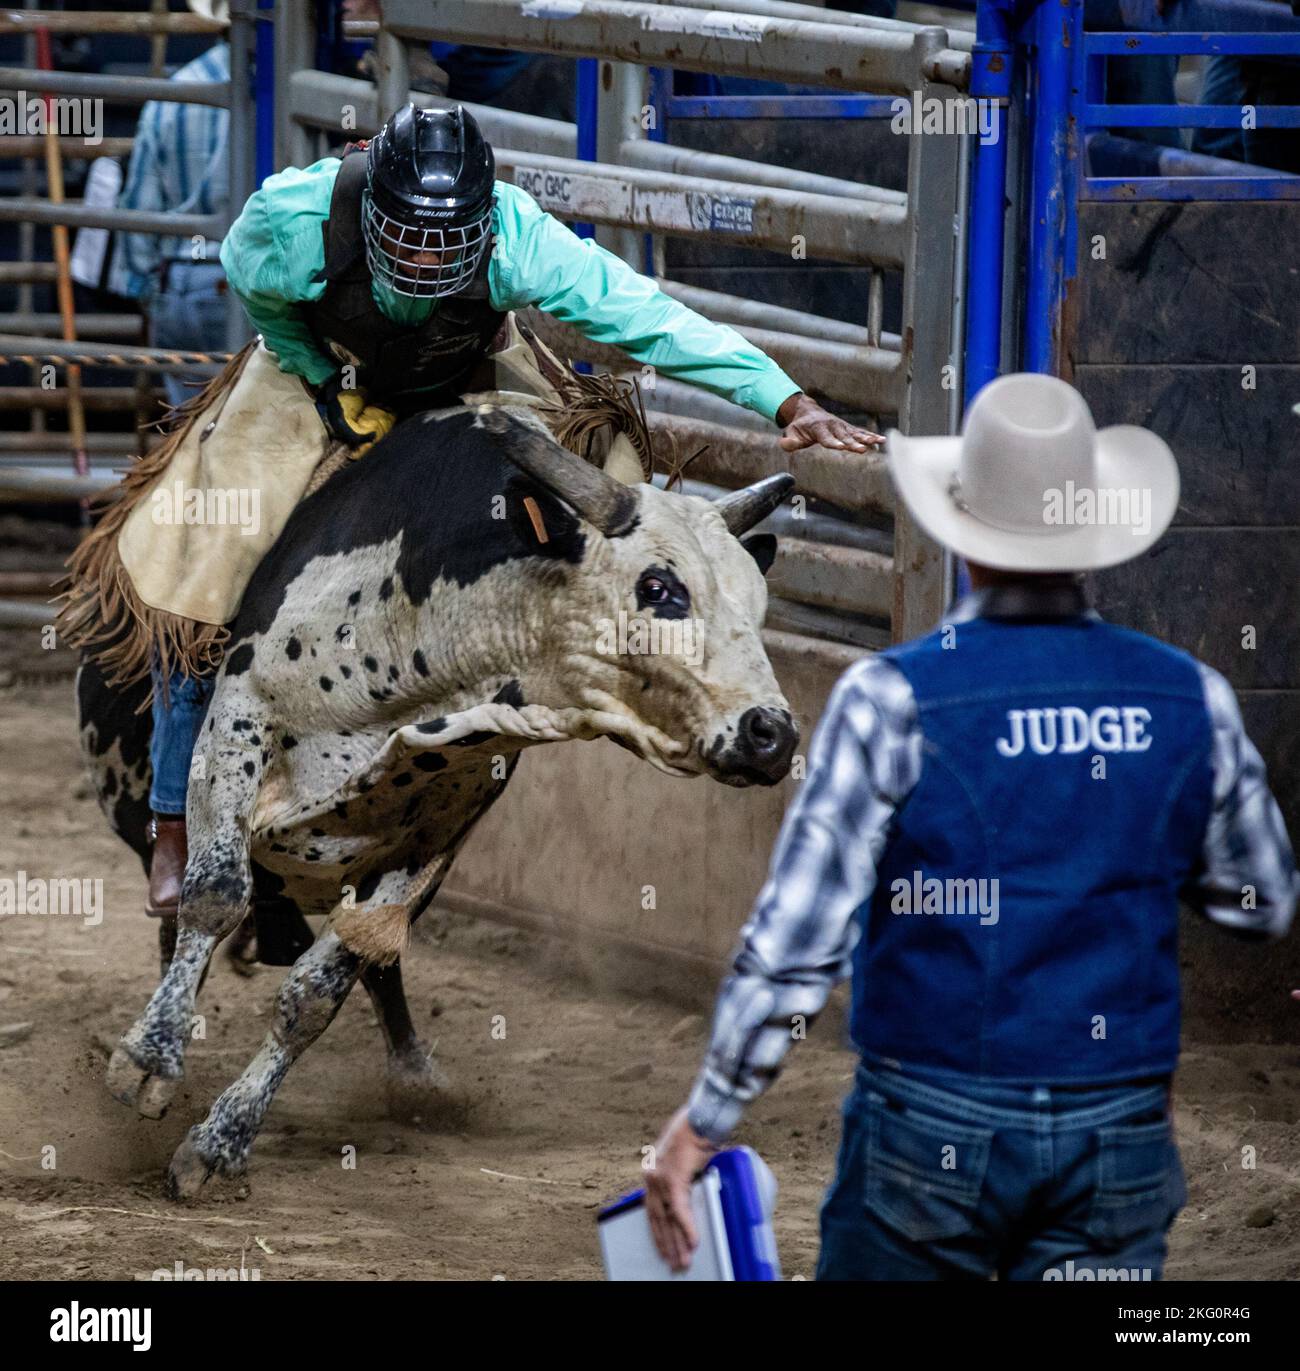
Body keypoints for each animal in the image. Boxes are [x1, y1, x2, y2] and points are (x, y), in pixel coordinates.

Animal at [81, 400, 795, 1195]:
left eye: (758, 602)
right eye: (659, 587)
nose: (771, 733)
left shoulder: (437, 827)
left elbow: (322, 986)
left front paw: (220, 1142)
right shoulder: (240, 720)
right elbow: (213, 897)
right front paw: (149, 1061)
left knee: (376, 963)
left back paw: (416, 1079)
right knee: (180, 911)